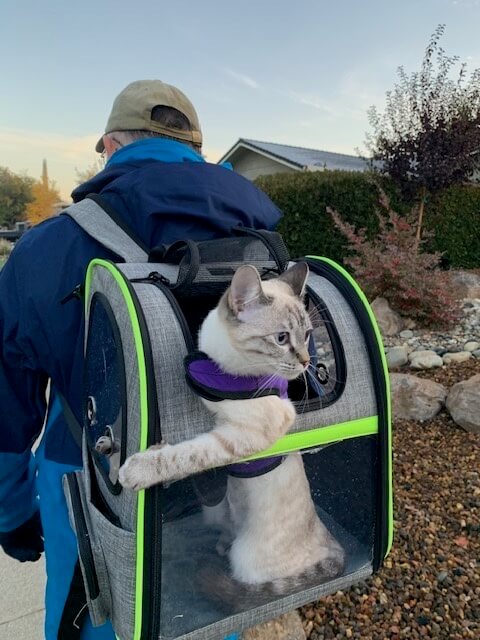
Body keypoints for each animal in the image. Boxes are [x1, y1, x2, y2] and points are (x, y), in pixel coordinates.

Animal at [120, 262, 344, 608]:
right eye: (282, 338)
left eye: (307, 336)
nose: (307, 362)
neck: (229, 366)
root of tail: (333, 546)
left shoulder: (241, 433)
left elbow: (187, 455)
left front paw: (137, 469)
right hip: (216, 512)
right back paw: (222, 543)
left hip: (247, 558)